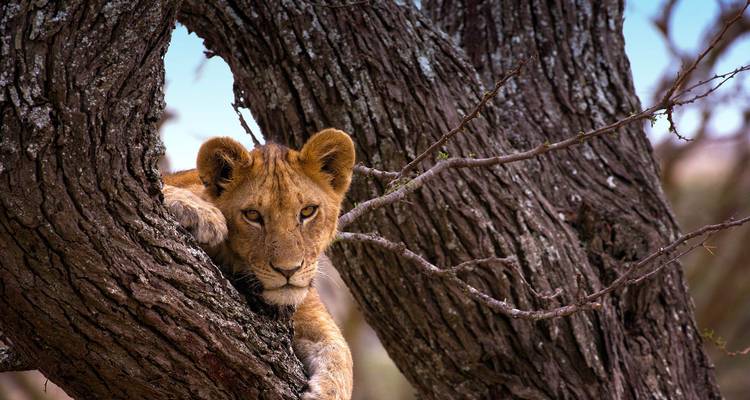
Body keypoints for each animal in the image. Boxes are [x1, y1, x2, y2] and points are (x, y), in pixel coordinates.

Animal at [162, 129, 355, 400]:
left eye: (308, 211)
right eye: (252, 215)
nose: (288, 270)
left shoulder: (307, 306)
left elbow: (341, 349)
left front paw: (326, 393)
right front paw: (202, 212)